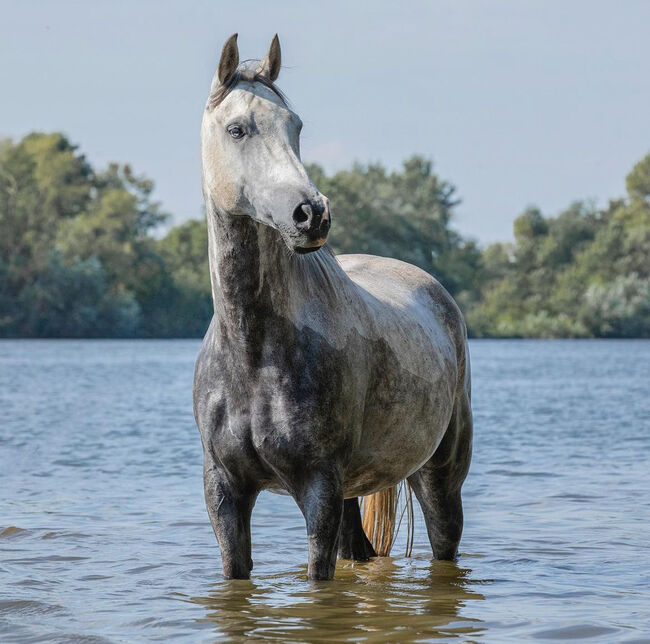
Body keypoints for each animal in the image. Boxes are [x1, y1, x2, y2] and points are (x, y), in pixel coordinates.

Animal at [192, 32, 470, 580]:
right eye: (237, 129)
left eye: (296, 125)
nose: (311, 213)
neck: (253, 354)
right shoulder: (225, 493)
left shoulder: (318, 489)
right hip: (354, 491)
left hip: (439, 477)